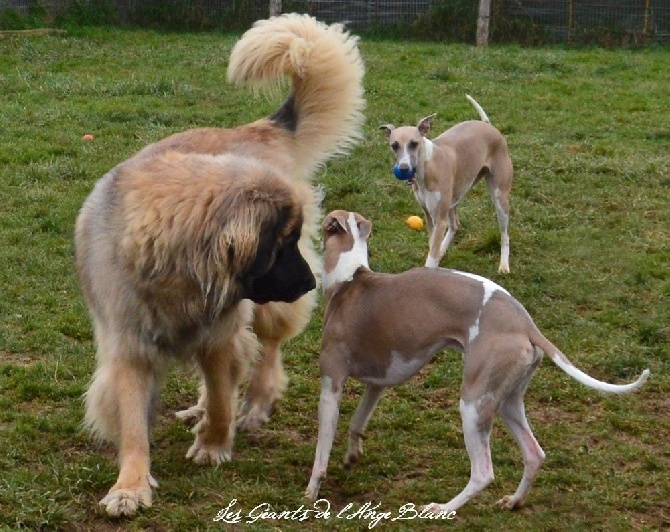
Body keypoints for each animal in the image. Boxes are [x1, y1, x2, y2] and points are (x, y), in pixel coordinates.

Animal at [75, 14, 364, 516]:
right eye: (279, 247)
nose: (312, 283)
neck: (174, 273)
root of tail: (257, 127)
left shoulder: (221, 332)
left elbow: (224, 393)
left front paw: (213, 443)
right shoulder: (129, 346)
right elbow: (133, 423)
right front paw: (130, 485)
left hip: (267, 307)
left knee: (268, 348)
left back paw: (257, 403)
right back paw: (198, 407)